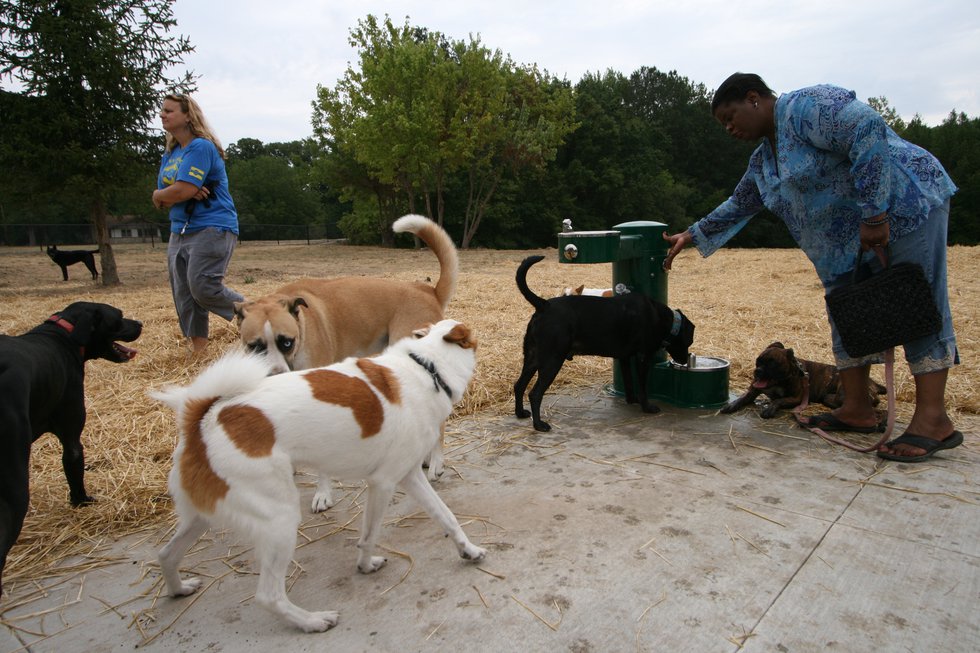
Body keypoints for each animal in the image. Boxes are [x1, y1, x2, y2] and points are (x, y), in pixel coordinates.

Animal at [0, 300, 142, 592]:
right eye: (119, 316)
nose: (140, 324)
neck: (62, 336)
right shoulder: (72, 436)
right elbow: (74, 468)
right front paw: (82, 501)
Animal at [151, 320, 484, 632]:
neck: (426, 367)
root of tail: (202, 423)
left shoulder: (411, 476)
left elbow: (446, 517)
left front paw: (467, 549)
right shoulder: (384, 483)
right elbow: (369, 536)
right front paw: (365, 564)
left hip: (202, 517)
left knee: (166, 554)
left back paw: (179, 588)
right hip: (280, 520)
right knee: (269, 596)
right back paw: (312, 621)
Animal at [234, 214, 460, 510]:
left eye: (287, 342)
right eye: (255, 346)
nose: (274, 374)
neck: (302, 325)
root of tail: (427, 290)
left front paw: (323, 494)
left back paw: (436, 463)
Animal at [512, 256, 696, 432]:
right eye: (689, 340)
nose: (684, 360)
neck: (661, 317)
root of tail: (544, 305)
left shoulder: (624, 358)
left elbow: (629, 382)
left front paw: (632, 400)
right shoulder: (643, 357)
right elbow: (642, 386)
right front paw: (647, 407)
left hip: (532, 358)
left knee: (519, 385)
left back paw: (520, 413)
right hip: (552, 360)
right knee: (535, 394)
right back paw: (539, 425)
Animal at [720, 342, 888, 418]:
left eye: (773, 364)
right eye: (758, 361)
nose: (758, 371)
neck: (778, 382)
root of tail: (873, 383)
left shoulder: (796, 398)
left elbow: (778, 400)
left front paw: (770, 408)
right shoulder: (753, 391)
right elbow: (742, 398)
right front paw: (732, 405)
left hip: (843, 395)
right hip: (830, 397)